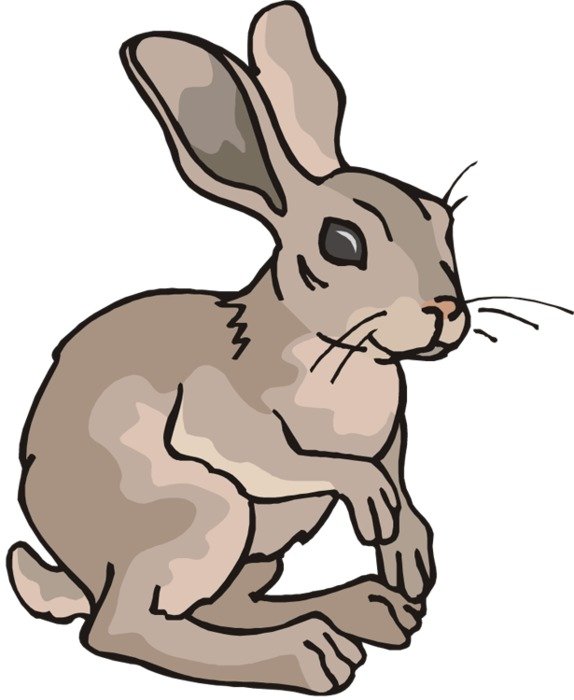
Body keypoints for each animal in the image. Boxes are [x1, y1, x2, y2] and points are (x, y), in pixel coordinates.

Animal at [7, 2, 471, 694]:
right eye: (341, 243)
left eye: (442, 220)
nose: (444, 313)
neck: (343, 351)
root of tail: (78, 571)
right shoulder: (226, 420)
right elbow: (293, 460)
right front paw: (371, 505)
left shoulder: (392, 436)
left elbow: (395, 471)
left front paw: (409, 554)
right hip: (206, 511)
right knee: (123, 627)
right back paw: (312, 654)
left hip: (255, 552)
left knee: (218, 606)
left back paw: (367, 610)